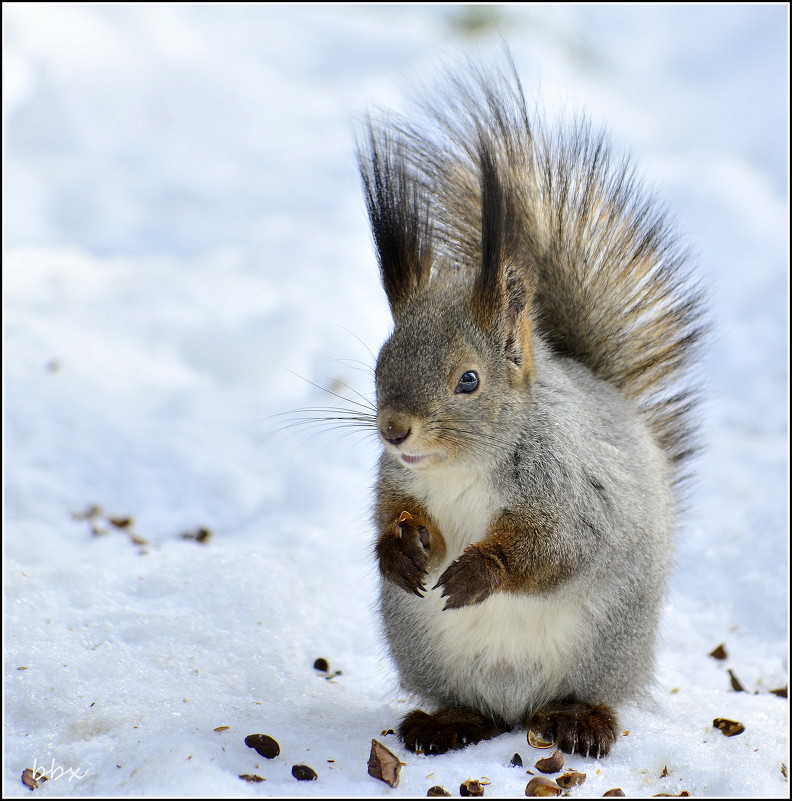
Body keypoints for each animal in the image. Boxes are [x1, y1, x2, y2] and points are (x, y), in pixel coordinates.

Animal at [356, 56, 704, 756]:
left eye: (468, 380)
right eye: (381, 361)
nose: (394, 430)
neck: (462, 466)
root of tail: (519, 706)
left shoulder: (573, 488)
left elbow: (556, 546)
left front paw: (477, 573)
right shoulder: (397, 481)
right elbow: (394, 516)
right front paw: (400, 549)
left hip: (604, 649)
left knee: (585, 693)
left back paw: (578, 721)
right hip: (431, 654)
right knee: (472, 707)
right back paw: (448, 723)